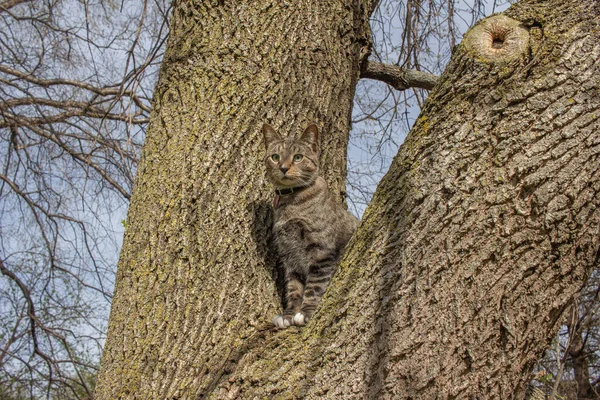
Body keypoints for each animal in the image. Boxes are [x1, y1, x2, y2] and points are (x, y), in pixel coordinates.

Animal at [262, 123, 356, 330]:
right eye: (275, 157)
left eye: (298, 157)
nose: (283, 168)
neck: (291, 202)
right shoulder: (289, 254)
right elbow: (293, 287)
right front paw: (288, 314)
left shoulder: (321, 250)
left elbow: (315, 284)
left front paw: (306, 312)